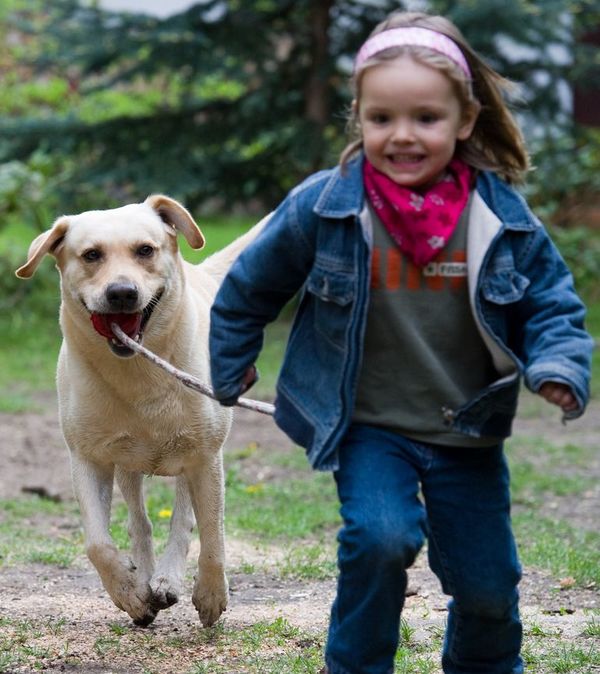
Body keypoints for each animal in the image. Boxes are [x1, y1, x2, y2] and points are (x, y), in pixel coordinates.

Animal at [17, 196, 264, 624]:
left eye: (145, 250)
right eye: (91, 255)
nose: (121, 293)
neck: (138, 371)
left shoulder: (206, 456)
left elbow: (212, 535)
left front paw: (211, 594)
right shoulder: (88, 458)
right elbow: (98, 544)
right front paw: (131, 594)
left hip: (194, 455)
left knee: (184, 516)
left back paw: (168, 578)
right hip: (127, 463)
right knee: (139, 521)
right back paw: (148, 579)